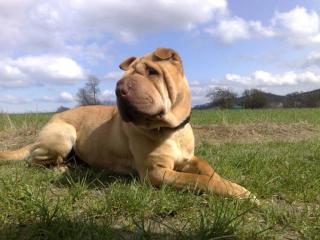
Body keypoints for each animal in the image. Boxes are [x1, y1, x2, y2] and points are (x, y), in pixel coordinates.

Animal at [0, 47, 255, 200]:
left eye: (152, 71)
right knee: (35, 160)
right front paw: (240, 193)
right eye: (121, 78)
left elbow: (207, 171)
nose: (119, 88)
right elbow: (196, 180)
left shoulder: (189, 159)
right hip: (64, 135)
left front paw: (234, 186)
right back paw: (62, 167)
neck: (170, 130)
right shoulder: (155, 172)